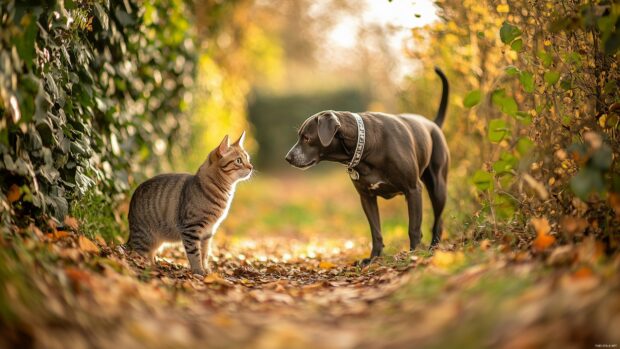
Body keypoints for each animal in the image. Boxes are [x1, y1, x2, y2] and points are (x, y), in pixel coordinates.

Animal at [126, 132, 252, 274]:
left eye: (248, 159)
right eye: (239, 161)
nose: (251, 167)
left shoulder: (208, 232)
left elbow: (205, 253)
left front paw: (206, 270)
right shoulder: (191, 228)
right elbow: (194, 253)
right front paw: (198, 271)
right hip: (144, 239)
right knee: (136, 255)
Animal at [286, 66, 450, 266]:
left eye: (307, 138)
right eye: (299, 136)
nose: (288, 157)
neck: (366, 147)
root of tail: (433, 124)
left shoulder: (413, 190)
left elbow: (413, 228)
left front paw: (413, 255)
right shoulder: (366, 197)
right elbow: (376, 232)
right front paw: (373, 259)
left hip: (438, 187)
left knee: (438, 221)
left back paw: (433, 247)